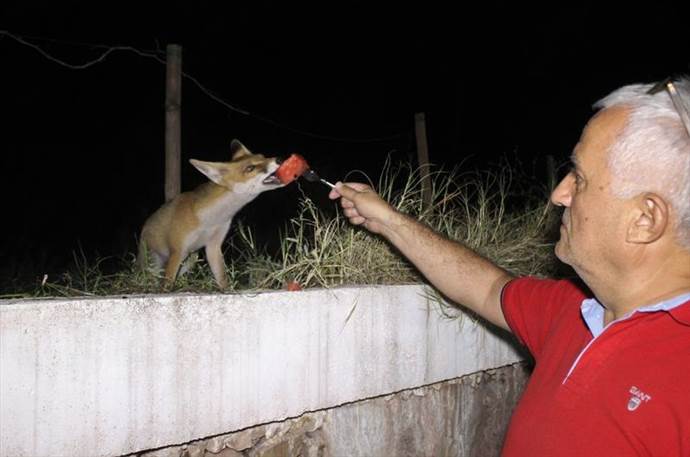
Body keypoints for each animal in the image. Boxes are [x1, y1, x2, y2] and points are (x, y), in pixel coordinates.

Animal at [138, 141, 284, 286]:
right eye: (250, 168)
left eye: (263, 156)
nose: (279, 159)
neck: (210, 221)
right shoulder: (177, 251)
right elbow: (167, 284)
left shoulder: (213, 247)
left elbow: (222, 279)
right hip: (158, 262)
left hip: (191, 258)